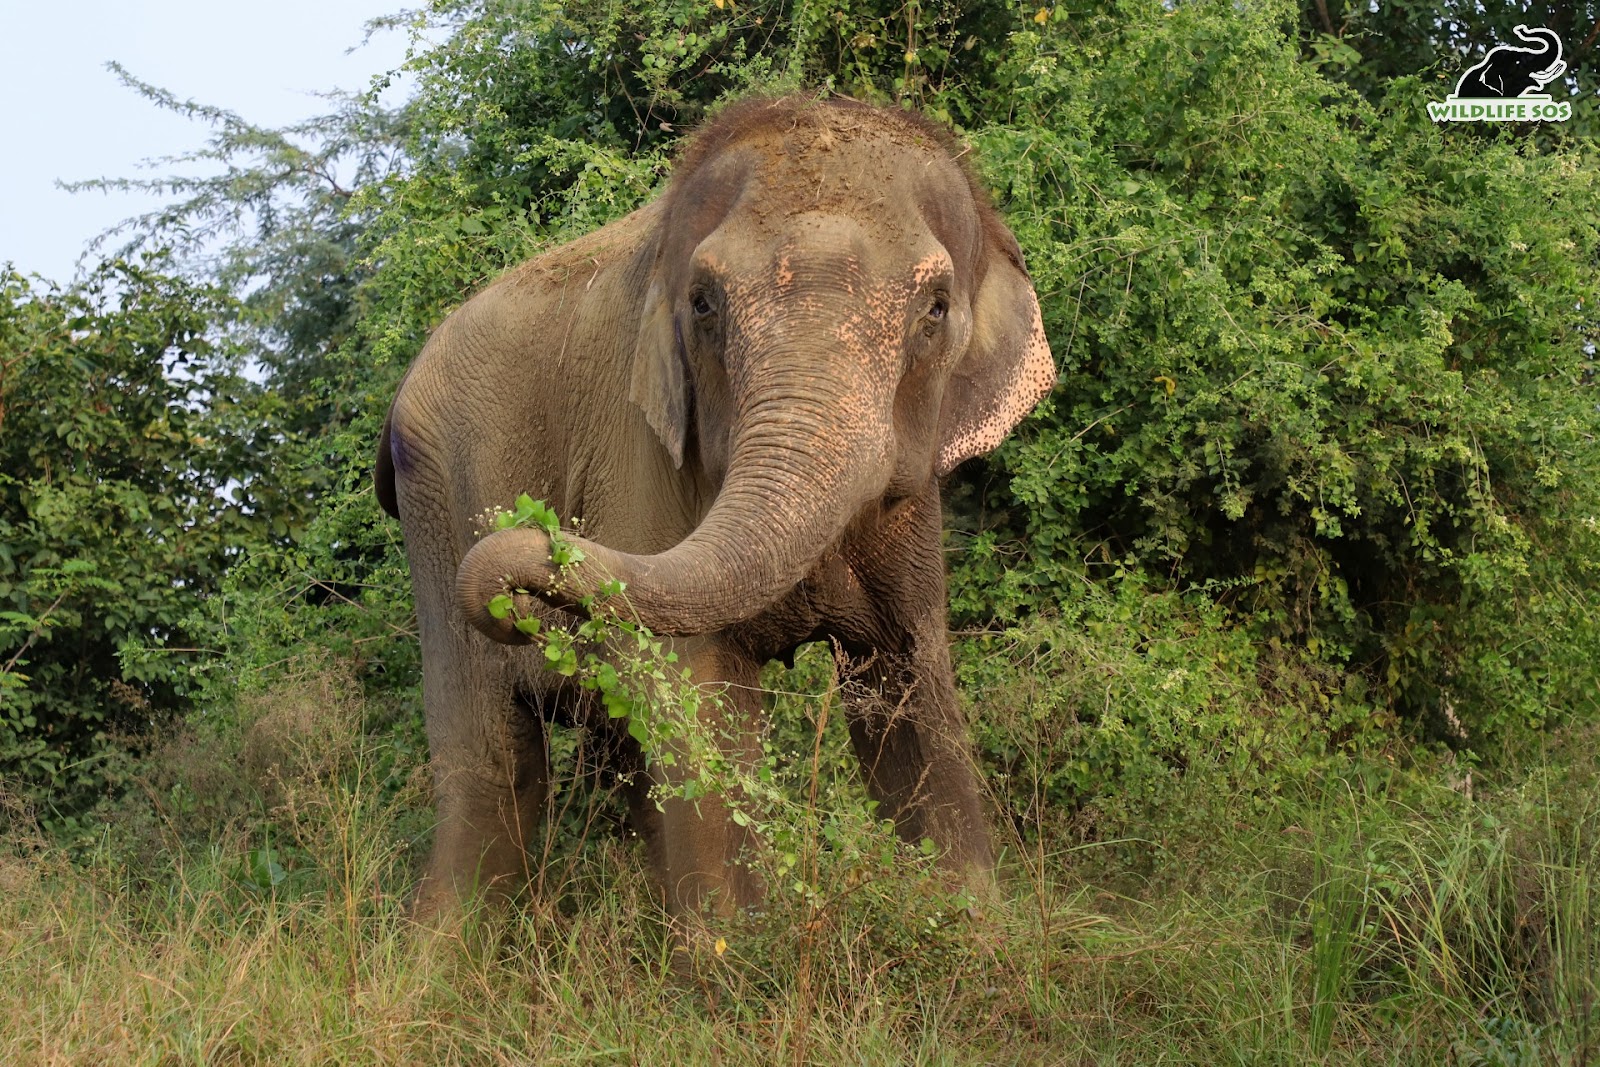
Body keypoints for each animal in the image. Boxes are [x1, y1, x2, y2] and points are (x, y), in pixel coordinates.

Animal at [371, 95, 1049, 921]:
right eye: (703, 305)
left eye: (936, 309)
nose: (537, 557)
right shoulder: (642, 450)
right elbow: (698, 691)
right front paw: (741, 948)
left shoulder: (911, 509)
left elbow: (909, 682)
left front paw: (973, 925)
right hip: (434, 502)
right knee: (491, 768)